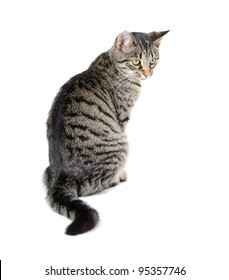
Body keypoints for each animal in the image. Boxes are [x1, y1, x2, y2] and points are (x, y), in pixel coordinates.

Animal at [43, 29, 168, 235]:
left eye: (153, 61)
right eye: (136, 62)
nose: (147, 74)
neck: (113, 64)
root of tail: (62, 176)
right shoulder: (122, 119)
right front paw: (122, 173)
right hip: (120, 145)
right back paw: (116, 178)